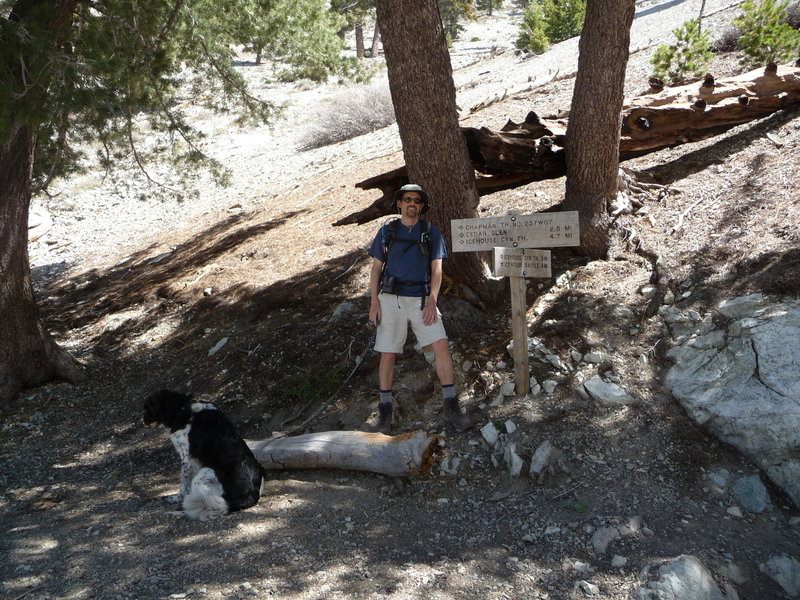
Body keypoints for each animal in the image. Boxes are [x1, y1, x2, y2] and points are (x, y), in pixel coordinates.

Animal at [144, 390, 266, 520]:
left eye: (147, 408)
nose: (143, 420)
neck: (182, 408)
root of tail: (251, 496)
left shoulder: (187, 458)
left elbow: (184, 484)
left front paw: (176, 498)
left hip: (205, 473)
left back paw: (176, 512)